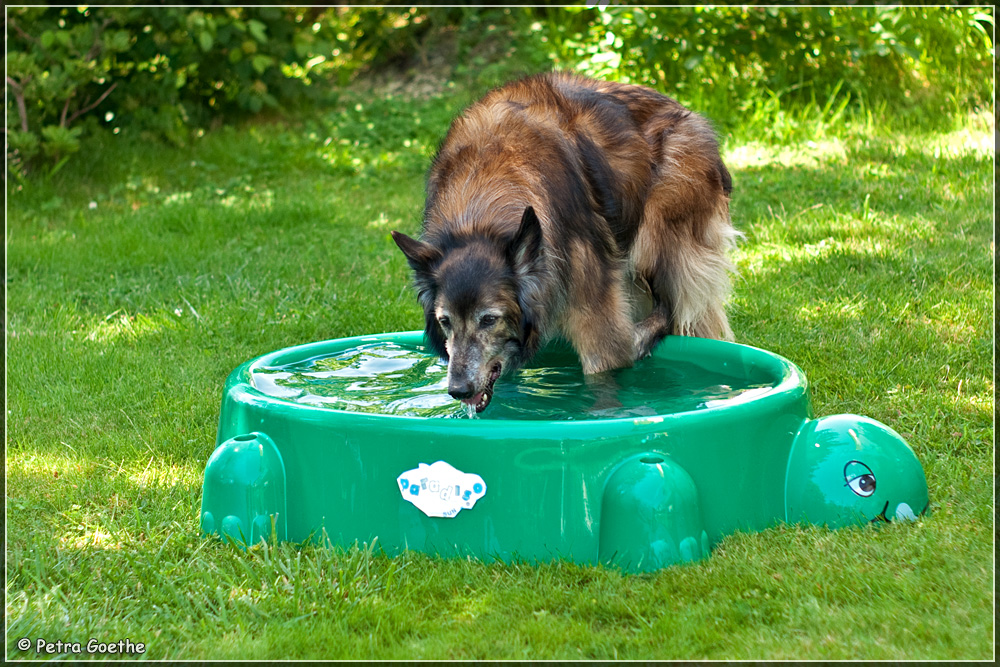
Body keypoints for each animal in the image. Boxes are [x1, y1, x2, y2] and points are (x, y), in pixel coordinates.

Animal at [394, 69, 740, 412]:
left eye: (489, 319)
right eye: (445, 321)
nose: (457, 390)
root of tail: (692, 116)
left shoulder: (595, 318)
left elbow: (603, 373)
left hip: (654, 240)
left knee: (672, 309)